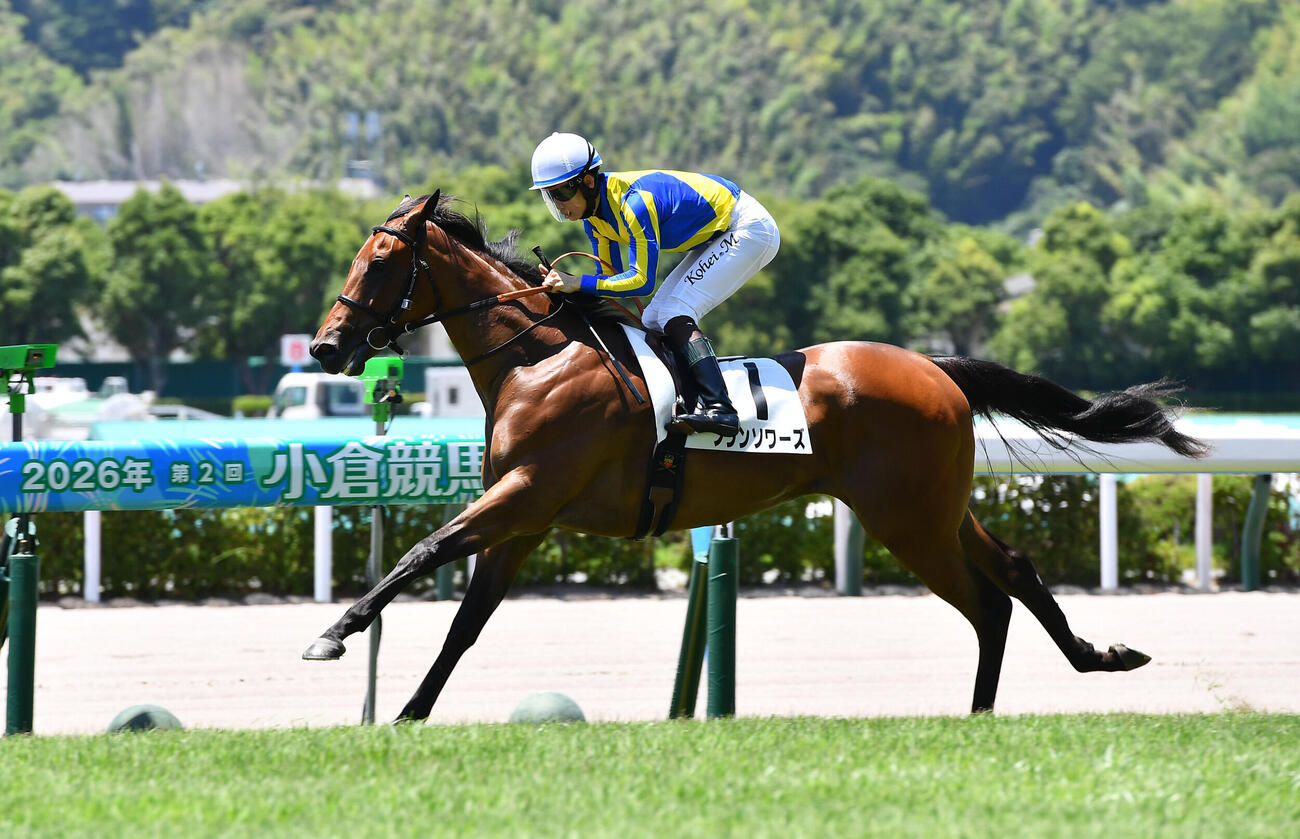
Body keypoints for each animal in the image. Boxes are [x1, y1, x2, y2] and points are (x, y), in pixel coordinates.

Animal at [303, 191, 1209, 721]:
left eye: (381, 260)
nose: (324, 346)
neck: (539, 357)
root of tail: (935, 367)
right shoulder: (523, 516)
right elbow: (466, 621)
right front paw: (408, 714)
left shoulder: (528, 491)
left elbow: (424, 550)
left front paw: (335, 633)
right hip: (934, 506)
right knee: (1013, 571)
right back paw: (1092, 659)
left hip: (907, 517)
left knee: (987, 600)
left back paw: (983, 714)